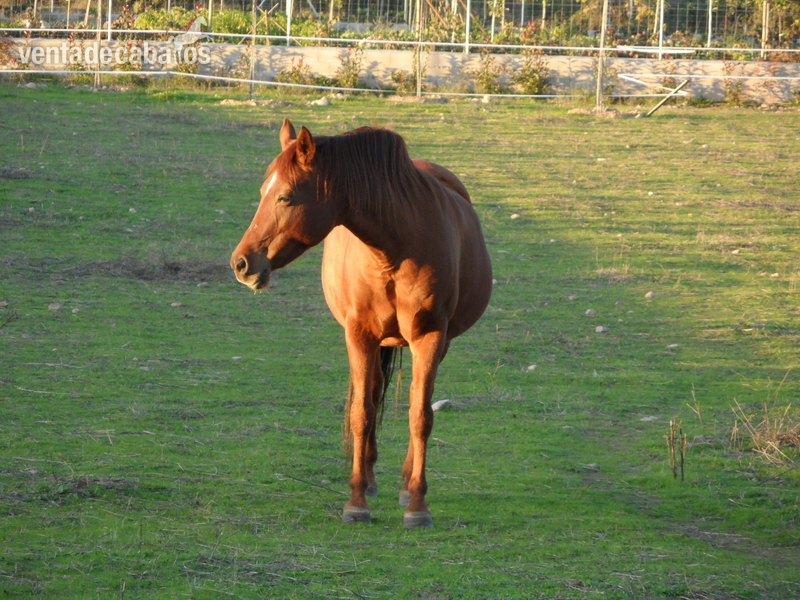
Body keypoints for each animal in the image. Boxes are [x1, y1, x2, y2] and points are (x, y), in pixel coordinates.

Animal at [231, 119, 492, 528]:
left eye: (285, 197)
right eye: (262, 192)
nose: (241, 263)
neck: (395, 247)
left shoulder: (430, 336)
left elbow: (420, 415)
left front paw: (418, 505)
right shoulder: (359, 335)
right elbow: (362, 413)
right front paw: (356, 501)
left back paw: (405, 485)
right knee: (371, 393)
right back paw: (368, 479)